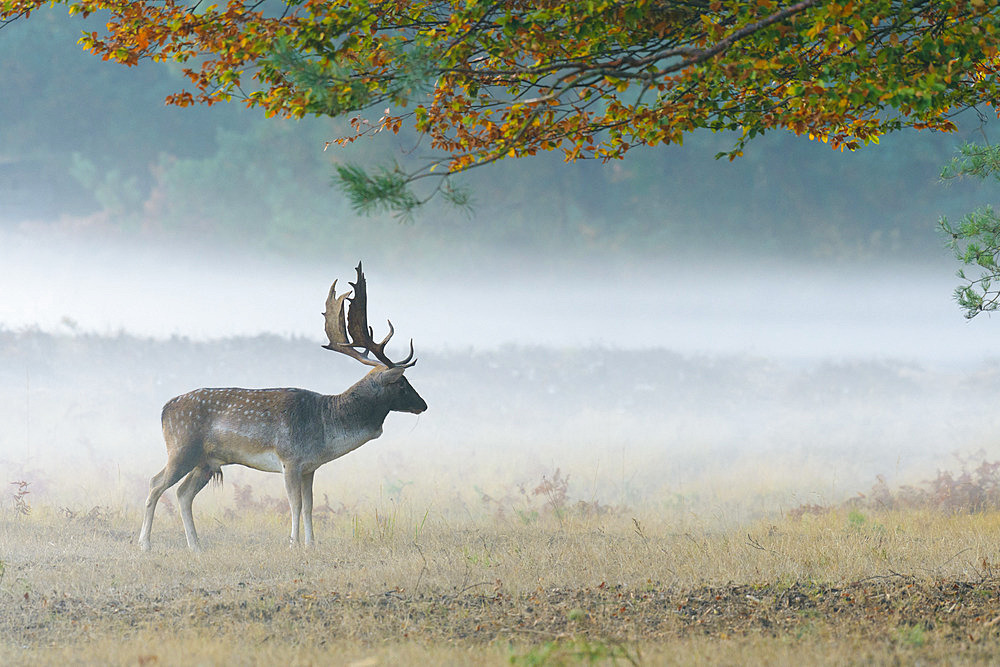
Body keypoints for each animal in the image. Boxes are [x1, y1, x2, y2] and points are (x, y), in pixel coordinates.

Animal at [138, 264, 426, 552]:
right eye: (401, 383)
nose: (423, 404)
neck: (327, 430)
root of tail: (164, 409)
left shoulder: (310, 467)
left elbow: (309, 506)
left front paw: (311, 545)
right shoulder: (290, 459)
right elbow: (295, 505)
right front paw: (293, 544)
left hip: (206, 462)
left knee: (183, 493)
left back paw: (196, 546)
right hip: (182, 449)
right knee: (155, 483)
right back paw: (145, 544)